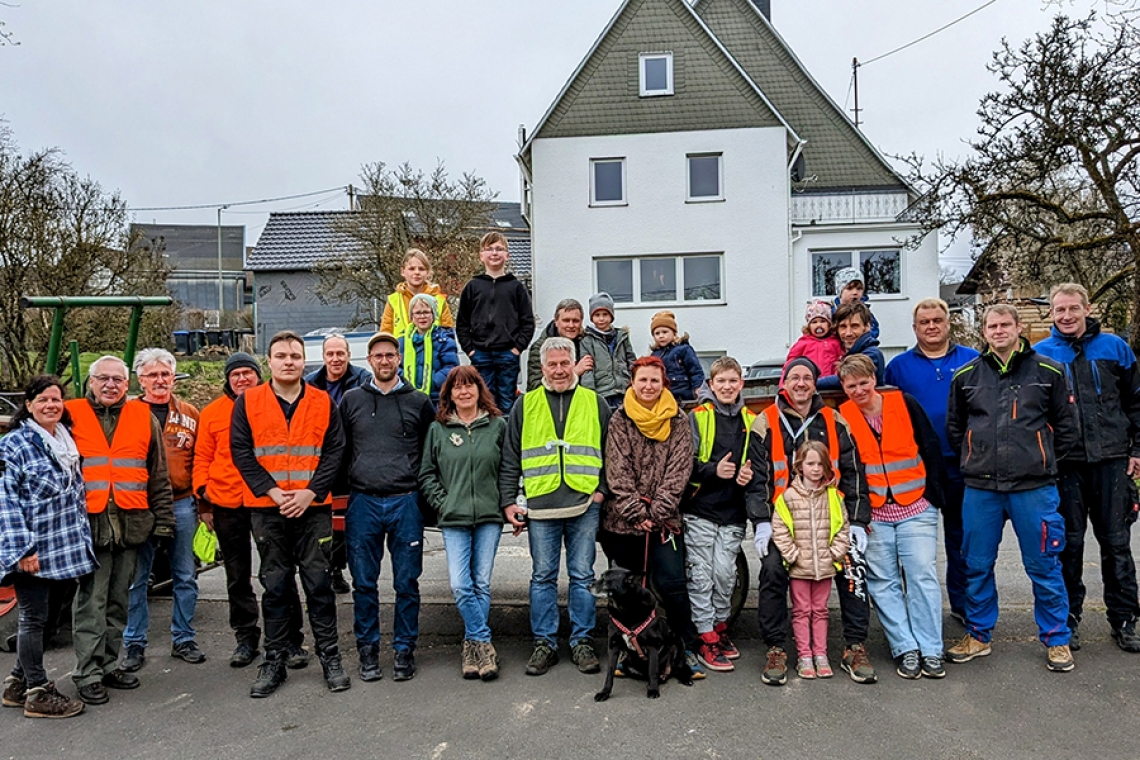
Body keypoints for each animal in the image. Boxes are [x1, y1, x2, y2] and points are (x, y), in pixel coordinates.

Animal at [588, 565, 693, 701]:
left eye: (606, 579)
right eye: (602, 576)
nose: (587, 586)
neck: (625, 610)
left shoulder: (652, 645)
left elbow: (653, 670)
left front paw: (653, 690)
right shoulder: (613, 646)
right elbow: (609, 673)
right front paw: (605, 692)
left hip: (678, 642)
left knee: (678, 668)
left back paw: (682, 678)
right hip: (627, 663)